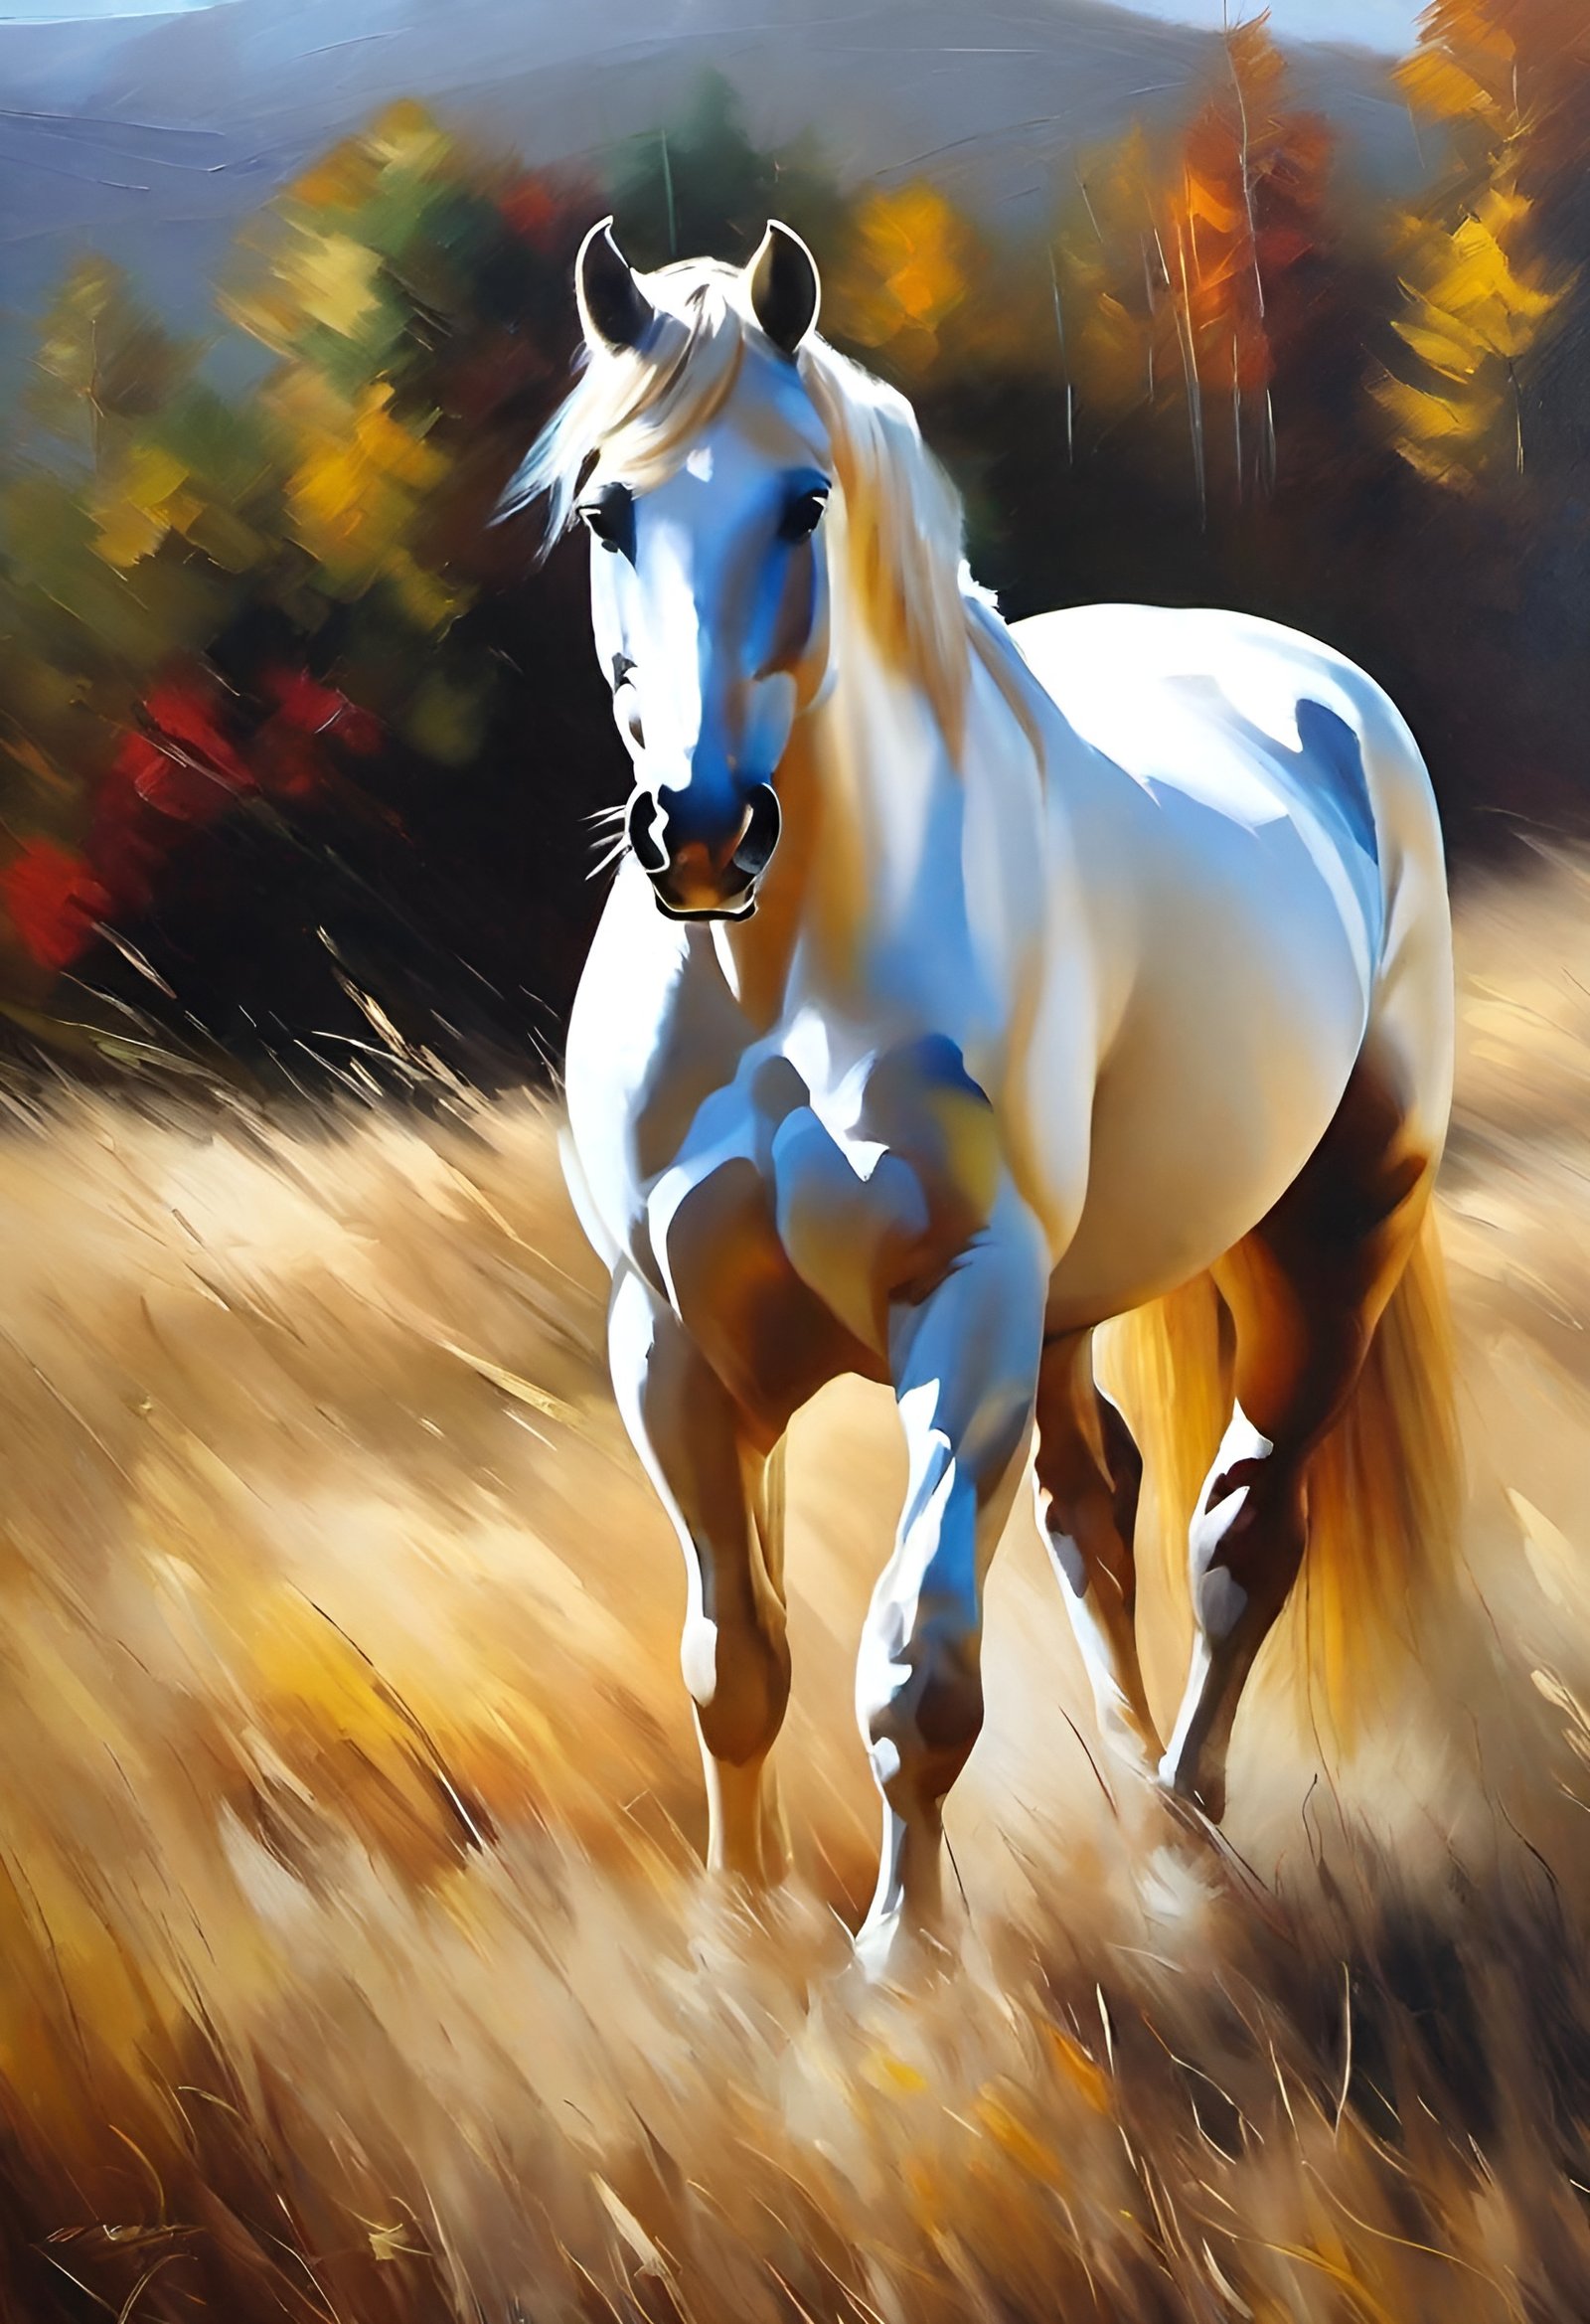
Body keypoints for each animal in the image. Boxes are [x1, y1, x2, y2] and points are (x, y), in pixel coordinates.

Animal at [505, 215, 1460, 1977]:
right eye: (609, 508)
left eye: (803, 503)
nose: (701, 832)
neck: (781, 976)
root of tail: (1321, 688)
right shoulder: (671, 1348)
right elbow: (733, 1658)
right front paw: (736, 1939)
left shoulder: (965, 1310)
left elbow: (916, 1667)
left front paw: (904, 1964)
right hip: (1070, 1312)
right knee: (1101, 1514)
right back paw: (1139, 1808)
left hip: (1331, 1238)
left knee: (1239, 1538)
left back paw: (1181, 1843)